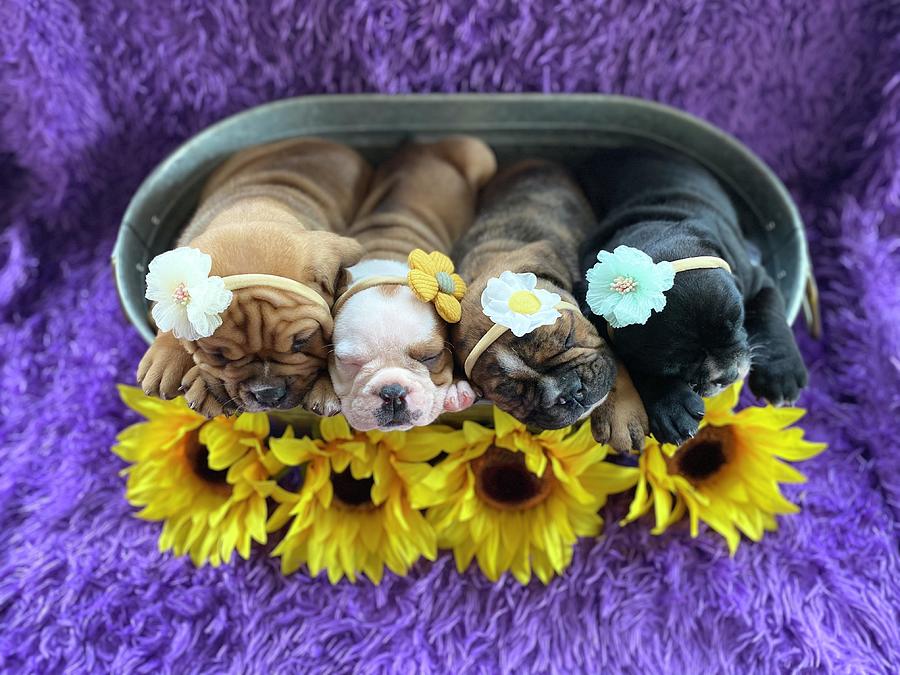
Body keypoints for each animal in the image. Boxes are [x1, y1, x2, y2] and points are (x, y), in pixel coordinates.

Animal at [576, 149, 808, 446]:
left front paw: (781, 371)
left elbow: (770, 314)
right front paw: (672, 406)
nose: (728, 375)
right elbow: (637, 367)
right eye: (673, 366)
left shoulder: (758, 281)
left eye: (737, 322)